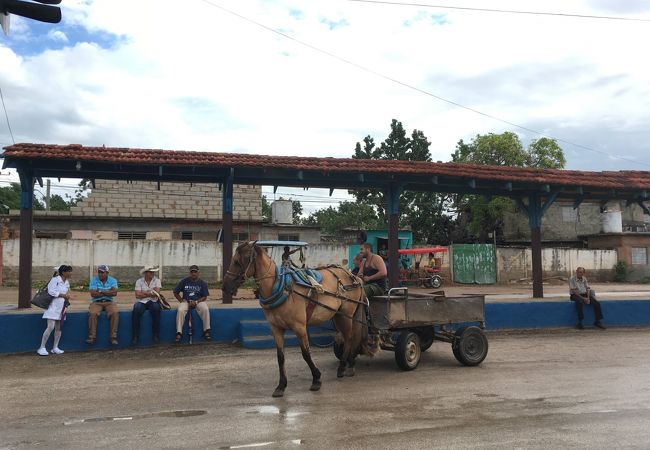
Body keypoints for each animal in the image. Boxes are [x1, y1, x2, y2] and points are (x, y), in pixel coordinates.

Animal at [223, 243, 368, 398]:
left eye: (237, 262)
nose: (225, 286)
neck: (281, 287)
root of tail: (354, 277)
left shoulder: (300, 327)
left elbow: (306, 354)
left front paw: (316, 379)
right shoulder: (276, 328)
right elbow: (280, 357)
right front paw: (281, 386)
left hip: (347, 314)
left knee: (350, 337)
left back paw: (345, 367)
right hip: (338, 315)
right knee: (347, 337)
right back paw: (347, 364)